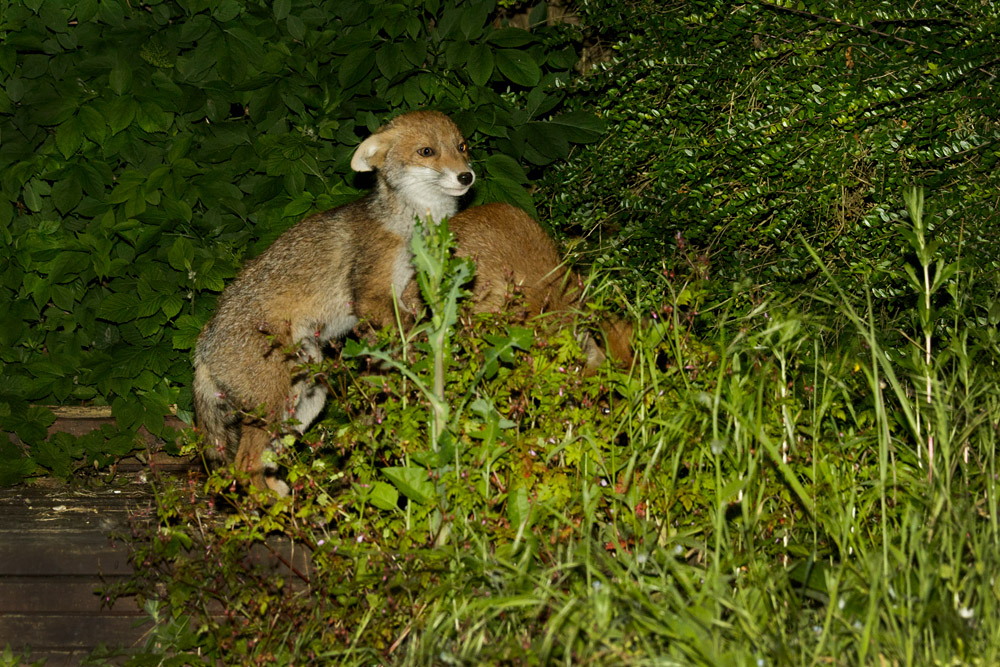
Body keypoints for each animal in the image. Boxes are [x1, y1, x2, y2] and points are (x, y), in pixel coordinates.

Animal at [193, 110, 475, 494]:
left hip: (308, 395)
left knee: (267, 458)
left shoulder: (408, 293)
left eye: (462, 147)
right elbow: (410, 335)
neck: (410, 225)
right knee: (245, 465)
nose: (466, 176)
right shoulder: (370, 296)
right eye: (427, 151)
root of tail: (203, 343)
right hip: (274, 402)